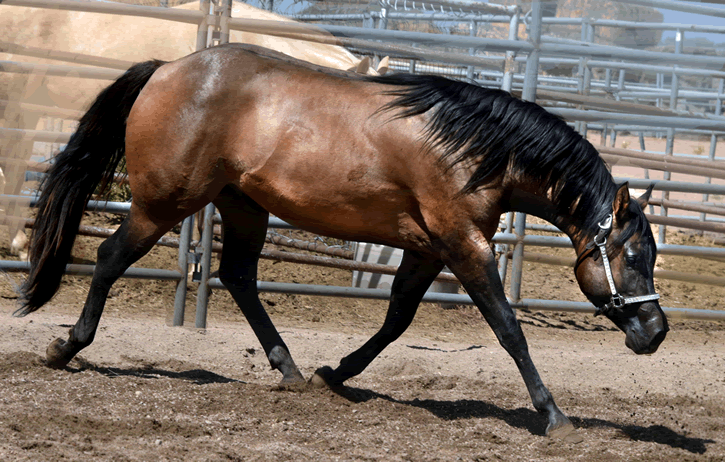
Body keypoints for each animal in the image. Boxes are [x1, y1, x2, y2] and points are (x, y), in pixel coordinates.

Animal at [15, 43, 668, 440]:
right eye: (633, 256)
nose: (656, 332)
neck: (471, 149)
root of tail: (167, 68)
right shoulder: (463, 244)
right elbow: (508, 327)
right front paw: (554, 415)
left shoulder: (427, 249)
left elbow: (397, 320)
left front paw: (337, 373)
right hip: (162, 204)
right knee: (109, 259)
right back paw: (65, 347)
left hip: (243, 206)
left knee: (239, 278)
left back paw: (291, 371)